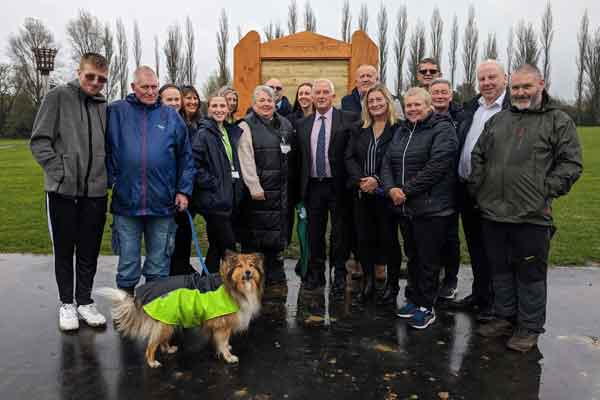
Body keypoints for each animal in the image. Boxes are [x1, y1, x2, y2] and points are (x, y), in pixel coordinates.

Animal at [96, 252, 262, 368]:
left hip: (166, 320)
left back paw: (168, 349)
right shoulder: (223, 325)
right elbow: (222, 341)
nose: (248, 273)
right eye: (239, 266)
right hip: (165, 323)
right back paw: (152, 362)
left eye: (251, 266)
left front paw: (226, 348)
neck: (232, 287)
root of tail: (141, 295)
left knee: (161, 340)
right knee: (151, 346)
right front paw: (228, 356)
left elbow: (222, 341)